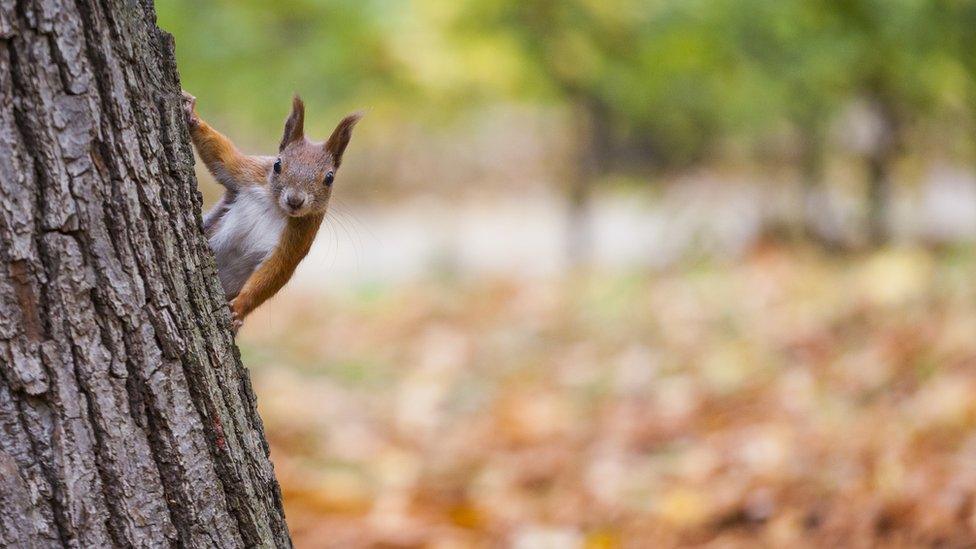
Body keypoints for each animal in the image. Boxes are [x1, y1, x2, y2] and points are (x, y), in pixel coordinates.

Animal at [181, 91, 360, 330]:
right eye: (277, 164)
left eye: (329, 178)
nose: (295, 200)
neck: (275, 206)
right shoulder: (248, 173)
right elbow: (222, 156)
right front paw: (192, 115)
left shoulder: (300, 236)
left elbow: (276, 270)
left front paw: (240, 309)